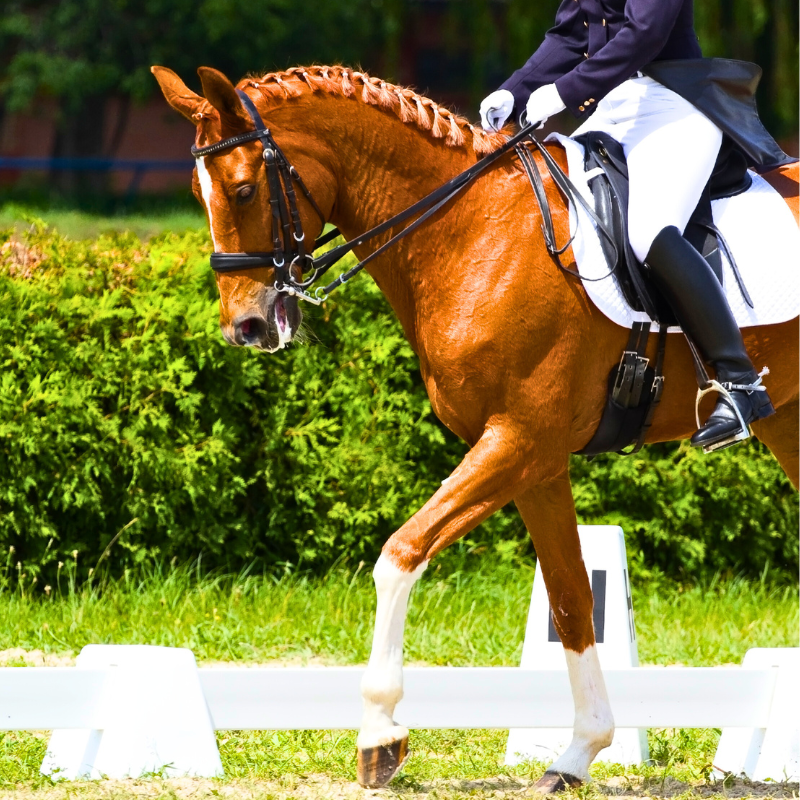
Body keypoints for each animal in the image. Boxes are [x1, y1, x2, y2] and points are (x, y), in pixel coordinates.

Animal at [152, 63, 799, 792]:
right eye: (198, 193)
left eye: (242, 188)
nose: (247, 327)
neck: (470, 233)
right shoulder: (536, 462)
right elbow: (571, 599)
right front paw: (577, 753)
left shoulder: (517, 440)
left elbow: (401, 553)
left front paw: (380, 735)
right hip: (790, 422)